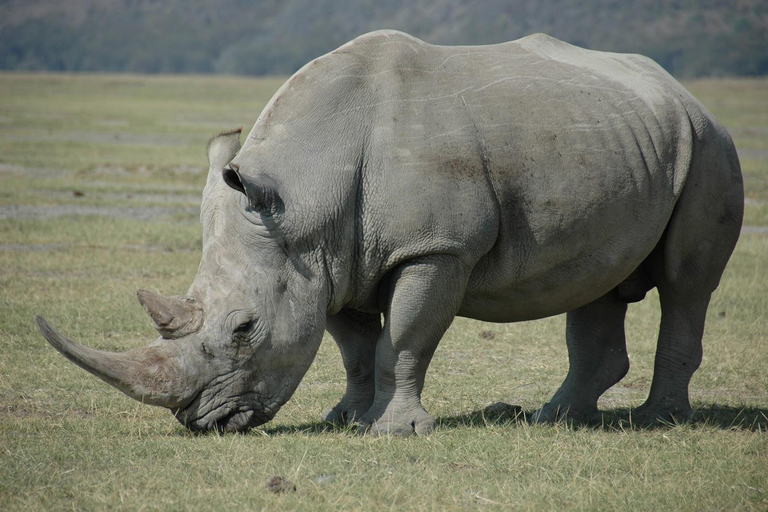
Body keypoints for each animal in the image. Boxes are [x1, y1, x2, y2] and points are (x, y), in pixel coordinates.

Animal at [33, 30, 740, 434]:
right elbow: (352, 345)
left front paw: (393, 431)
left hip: (709, 144)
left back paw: (660, 420)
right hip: (617, 139)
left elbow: (403, 340)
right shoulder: (328, 258)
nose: (201, 421)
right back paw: (556, 419)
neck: (304, 190)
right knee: (596, 281)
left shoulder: (434, 249)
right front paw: (344, 418)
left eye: (243, 329)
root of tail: (681, 90)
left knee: (686, 284)